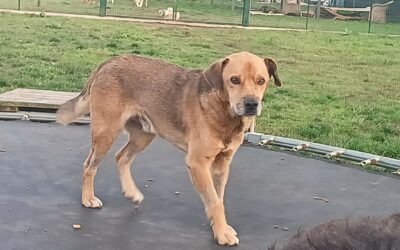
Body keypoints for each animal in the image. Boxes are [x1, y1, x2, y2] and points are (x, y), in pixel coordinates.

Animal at [56, 51, 282, 245]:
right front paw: (221, 233)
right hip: (106, 133)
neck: (224, 112)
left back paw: (132, 192)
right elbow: (215, 202)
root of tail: (108, 62)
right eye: (234, 80)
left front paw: (220, 227)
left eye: (261, 81)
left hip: (144, 135)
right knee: (89, 165)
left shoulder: (222, 164)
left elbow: (218, 198)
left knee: (121, 157)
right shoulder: (198, 163)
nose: (252, 104)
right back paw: (88, 199)